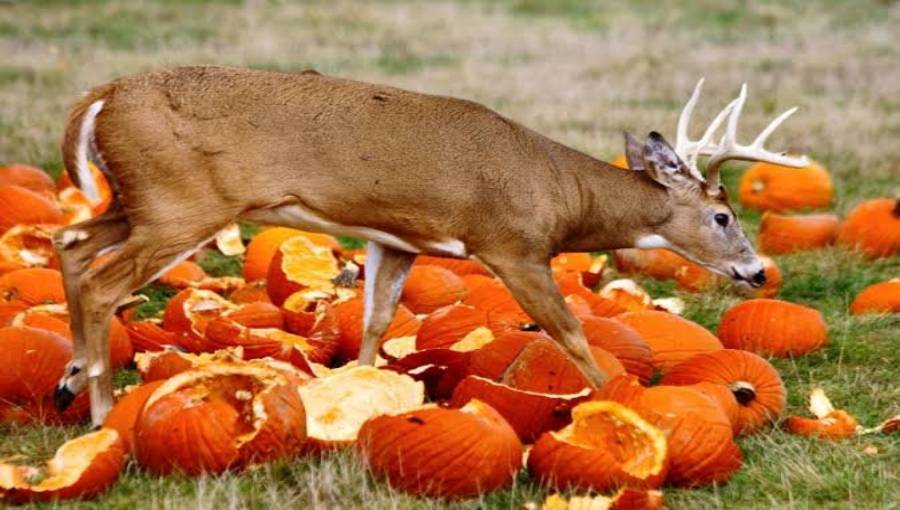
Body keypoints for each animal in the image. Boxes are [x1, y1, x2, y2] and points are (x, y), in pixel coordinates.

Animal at [51, 66, 806, 425]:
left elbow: (375, 323)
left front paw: (357, 399)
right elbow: (570, 332)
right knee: (102, 279)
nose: (756, 271)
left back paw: (67, 383)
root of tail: (104, 94)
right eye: (722, 215)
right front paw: (617, 399)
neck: (559, 192)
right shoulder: (511, 244)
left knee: (69, 240)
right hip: (180, 204)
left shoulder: (399, 241)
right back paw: (99, 410)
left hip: (137, 201)